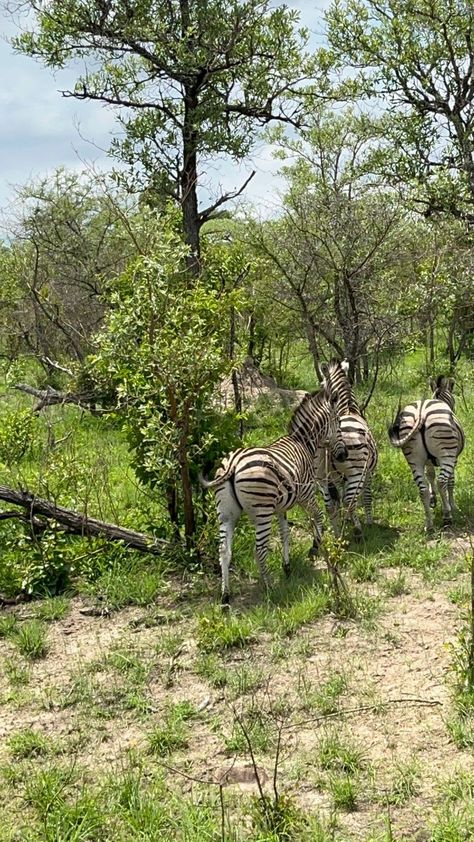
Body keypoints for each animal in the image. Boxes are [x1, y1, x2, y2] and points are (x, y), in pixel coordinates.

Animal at [198, 384, 346, 608]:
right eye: (338, 423)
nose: (344, 455)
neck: (303, 442)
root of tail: (233, 464)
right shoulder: (305, 493)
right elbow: (319, 516)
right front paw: (315, 548)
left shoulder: (281, 506)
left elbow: (285, 533)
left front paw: (287, 566)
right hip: (262, 512)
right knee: (259, 550)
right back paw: (269, 586)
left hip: (226, 514)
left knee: (224, 550)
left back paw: (225, 596)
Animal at [314, 358, 378, 536]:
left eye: (321, 384)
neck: (348, 409)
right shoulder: (369, 472)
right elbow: (367, 496)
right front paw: (369, 521)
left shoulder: (338, 478)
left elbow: (340, 498)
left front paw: (346, 521)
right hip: (356, 471)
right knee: (350, 501)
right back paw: (358, 530)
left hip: (322, 477)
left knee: (330, 505)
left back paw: (338, 533)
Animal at [390, 372, 464, 524]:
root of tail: (422, 414)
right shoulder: (454, 458)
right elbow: (451, 481)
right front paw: (453, 505)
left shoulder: (428, 461)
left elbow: (430, 475)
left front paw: (433, 499)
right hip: (446, 454)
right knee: (442, 482)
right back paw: (447, 515)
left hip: (414, 459)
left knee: (422, 488)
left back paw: (429, 523)